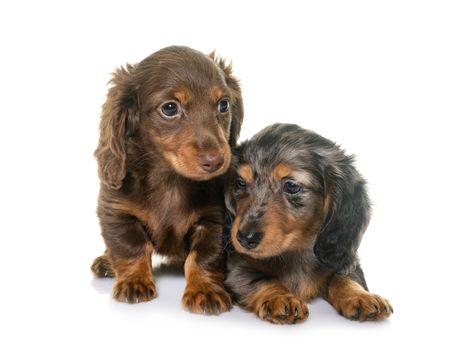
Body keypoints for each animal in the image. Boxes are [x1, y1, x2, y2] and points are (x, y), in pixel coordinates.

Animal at [90, 46, 242, 314]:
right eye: (170, 108)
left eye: (223, 104)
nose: (216, 161)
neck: (171, 181)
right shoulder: (116, 211)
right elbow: (131, 247)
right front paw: (134, 281)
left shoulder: (214, 219)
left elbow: (203, 257)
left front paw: (205, 289)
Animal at [224, 124, 392, 324]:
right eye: (240, 183)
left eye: (292, 186)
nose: (244, 237)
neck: (296, 251)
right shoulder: (237, 266)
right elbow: (261, 279)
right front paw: (280, 297)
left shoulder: (344, 258)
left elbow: (344, 277)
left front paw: (361, 297)